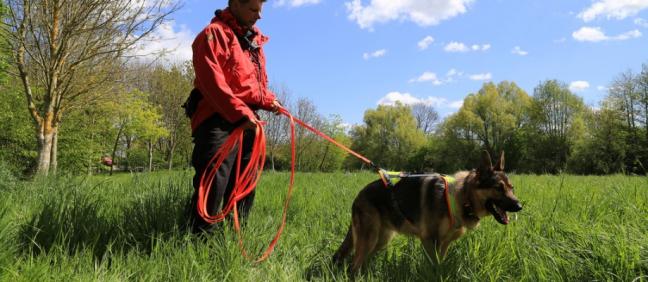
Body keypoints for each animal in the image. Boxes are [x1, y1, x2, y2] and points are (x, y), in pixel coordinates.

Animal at [334, 151, 520, 272]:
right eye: (498, 188)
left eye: (511, 188)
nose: (519, 206)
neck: (461, 197)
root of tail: (359, 195)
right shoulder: (430, 240)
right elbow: (433, 267)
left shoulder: (444, 244)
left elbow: (439, 265)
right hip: (370, 238)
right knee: (353, 265)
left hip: (381, 240)